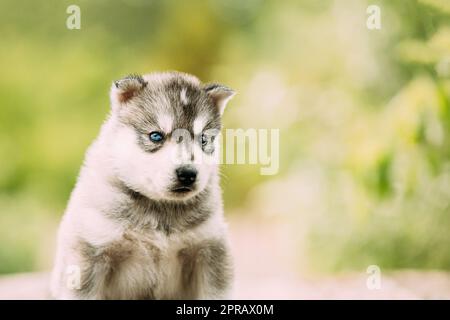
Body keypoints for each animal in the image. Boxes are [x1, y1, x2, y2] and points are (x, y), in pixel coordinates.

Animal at [50, 71, 236, 298]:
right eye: (155, 136)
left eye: (203, 139)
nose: (188, 174)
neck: (160, 207)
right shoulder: (90, 251)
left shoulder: (210, 248)